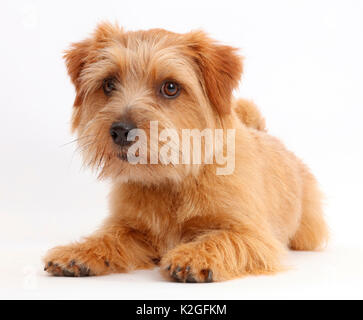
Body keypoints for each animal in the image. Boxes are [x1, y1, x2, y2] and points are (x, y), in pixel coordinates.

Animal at [43, 23, 330, 282]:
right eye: (109, 84)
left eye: (170, 87)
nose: (121, 131)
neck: (172, 181)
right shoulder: (132, 227)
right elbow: (109, 237)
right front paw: (78, 252)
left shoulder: (253, 235)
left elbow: (221, 237)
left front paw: (194, 256)